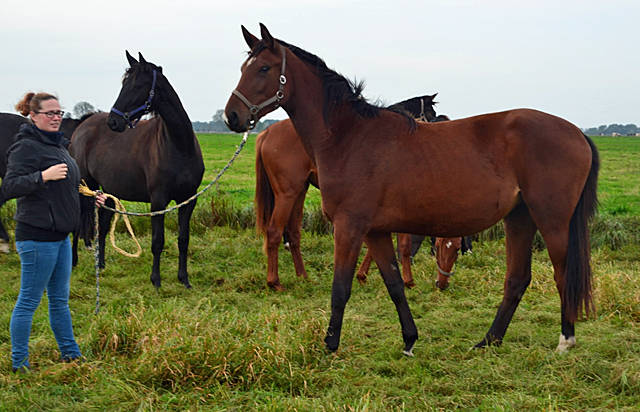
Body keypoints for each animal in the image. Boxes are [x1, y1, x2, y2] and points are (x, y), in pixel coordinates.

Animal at [68, 51, 202, 288]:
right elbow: (158, 241)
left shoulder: (188, 200)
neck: (179, 146)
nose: (114, 121)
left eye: (138, 86)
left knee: (103, 224)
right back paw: (74, 261)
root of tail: (82, 125)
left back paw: (101, 264)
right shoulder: (158, 201)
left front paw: (184, 279)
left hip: (107, 191)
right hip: (85, 186)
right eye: (124, 84)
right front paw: (156, 280)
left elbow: (183, 240)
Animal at [252, 95, 442, 292]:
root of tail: (267, 132)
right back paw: (275, 282)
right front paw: (407, 281)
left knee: (293, 232)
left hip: (299, 191)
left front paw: (363, 274)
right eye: (431, 113)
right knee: (274, 232)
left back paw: (303, 277)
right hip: (286, 194)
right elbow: (403, 245)